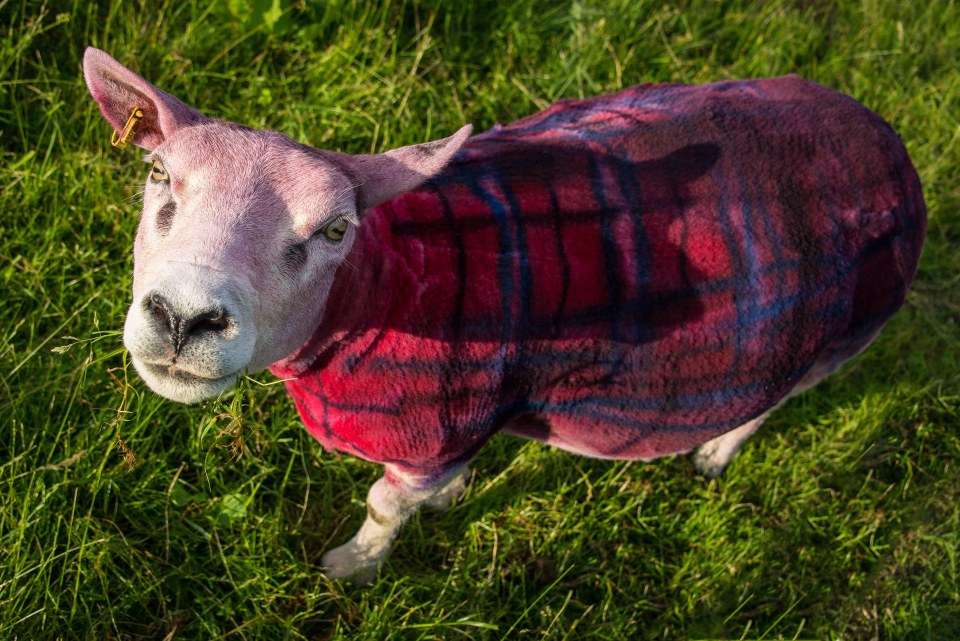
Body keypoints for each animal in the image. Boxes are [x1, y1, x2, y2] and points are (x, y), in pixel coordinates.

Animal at [82, 48, 924, 580]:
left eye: (334, 230)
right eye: (158, 175)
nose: (183, 316)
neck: (378, 293)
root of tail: (882, 133)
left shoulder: (429, 427)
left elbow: (384, 507)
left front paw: (352, 568)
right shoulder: (466, 418)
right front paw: (447, 498)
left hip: (841, 332)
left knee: (777, 398)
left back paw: (717, 451)